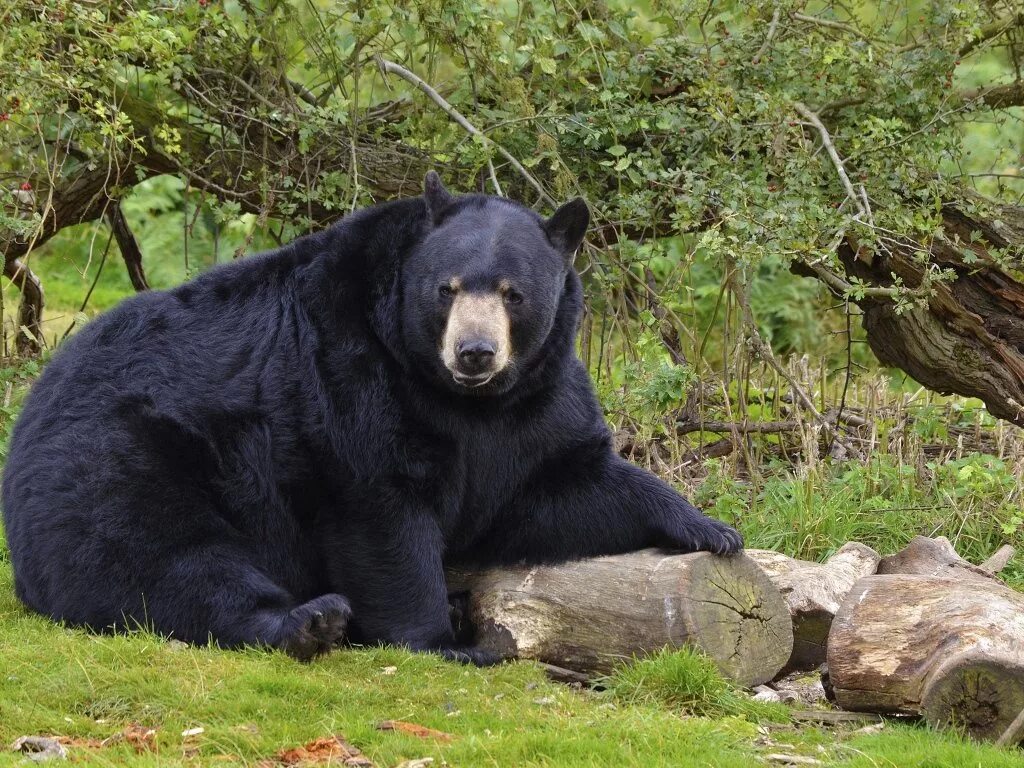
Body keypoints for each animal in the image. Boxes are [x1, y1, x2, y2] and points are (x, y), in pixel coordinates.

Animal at [0, 173, 737, 663]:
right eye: (446, 289)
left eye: (513, 293)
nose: (474, 352)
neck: (459, 398)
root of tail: (32, 412)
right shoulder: (348, 372)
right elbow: (381, 510)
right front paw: (443, 640)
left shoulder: (531, 405)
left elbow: (550, 490)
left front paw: (709, 528)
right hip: (124, 456)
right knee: (163, 555)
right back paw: (308, 621)